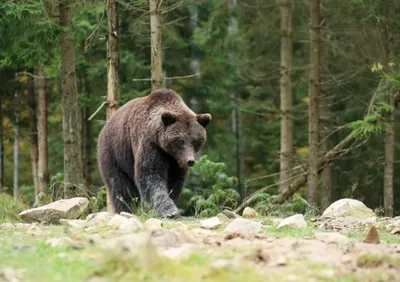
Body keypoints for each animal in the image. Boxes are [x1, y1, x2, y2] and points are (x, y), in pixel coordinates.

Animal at [97, 88, 212, 218]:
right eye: (180, 140)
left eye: (195, 141)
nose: (190, 161)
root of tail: (106, 125)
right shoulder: (150, 145)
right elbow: (150, 174)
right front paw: (169, 211)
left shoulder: (175, 161)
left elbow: (174, 182)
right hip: (115, 153)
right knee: (120, 186)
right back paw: (125, 209)